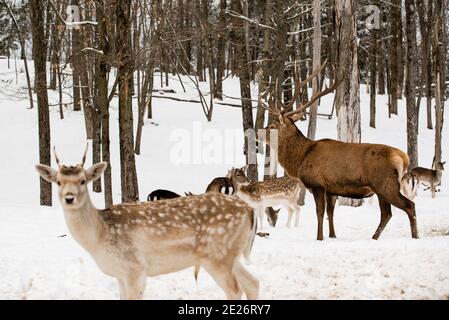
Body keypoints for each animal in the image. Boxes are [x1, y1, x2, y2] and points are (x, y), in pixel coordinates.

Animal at [35, 148, 260, 300]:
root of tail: (249, 210)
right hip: (231, 254)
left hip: (217, 256)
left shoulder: (135, 268)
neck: (99, 237)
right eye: (58, 182)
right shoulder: (120, 273)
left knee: (235, 290)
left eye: (83, 181)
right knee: (253, 283)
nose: (69, 198)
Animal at [258, 63, 418, 241]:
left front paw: (319, 238)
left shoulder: (317, 185)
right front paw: (333, 236)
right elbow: (330, 213)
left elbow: (320, 213)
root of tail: (404, 158)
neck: (300, 159)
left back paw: (414, 237)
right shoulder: (331, 189)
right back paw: (374, 238)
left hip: (385, 184)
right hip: (383, 188)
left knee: (409, 206)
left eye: (272, 126)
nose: (257, 132)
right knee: (387, 214)